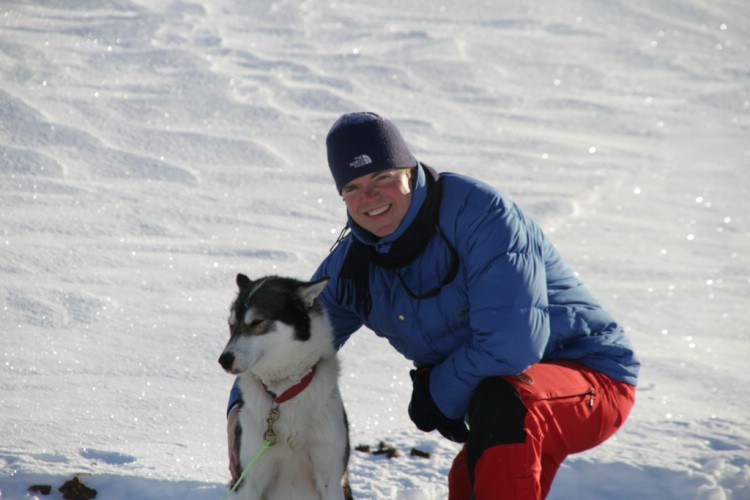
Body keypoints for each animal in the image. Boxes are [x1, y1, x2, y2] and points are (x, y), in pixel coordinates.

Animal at [217, 274, 352, 500]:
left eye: (257, 322)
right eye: (231, 325)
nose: (224, 360)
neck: (282, 392)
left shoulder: (331, 478)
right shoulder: (249, 479)